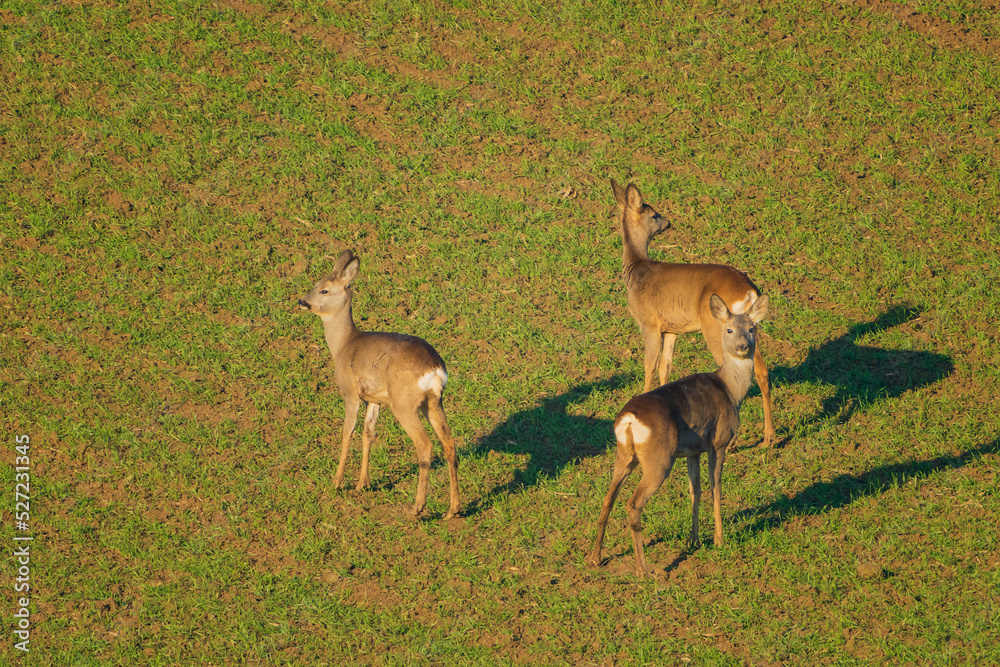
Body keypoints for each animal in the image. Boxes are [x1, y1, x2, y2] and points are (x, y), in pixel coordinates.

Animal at [298, 250, 460, 520]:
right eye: (315, 284)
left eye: (324, 290)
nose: (302, 301)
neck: (343, 345)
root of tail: (434, 368)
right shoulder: (375, 399)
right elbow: (368, 433)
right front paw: (363, 483)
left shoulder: (350, 392)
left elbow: (347, 432)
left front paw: (337, 482)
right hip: (433, 401)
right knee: (449, 443)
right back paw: (453, 509)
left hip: (404, 403)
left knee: (425, 445)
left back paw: (417, 507)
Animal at [587, 293, 769, 576]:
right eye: (729, 329)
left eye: (752, 328)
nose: (742, 347)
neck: (731, 390)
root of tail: (629, 419)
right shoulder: (718, 442)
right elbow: (715, 487)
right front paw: (719, 540)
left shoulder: (693, 450)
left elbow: (695, 490)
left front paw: (694, 540)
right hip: (659, 459)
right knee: (633, 503)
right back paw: (643, 569)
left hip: (625, 455)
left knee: (608, 498)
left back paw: (596, 557)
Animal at [612, 178, 776, 446]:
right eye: (654, 214)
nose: (668, 222)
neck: (636, 270)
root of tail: (748, 289)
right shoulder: (671, 329)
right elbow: (665, 366)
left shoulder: (649, 323)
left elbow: (649, 365)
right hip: (749, 329)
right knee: (761, 369)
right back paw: (769, 436)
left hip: (715, 329)